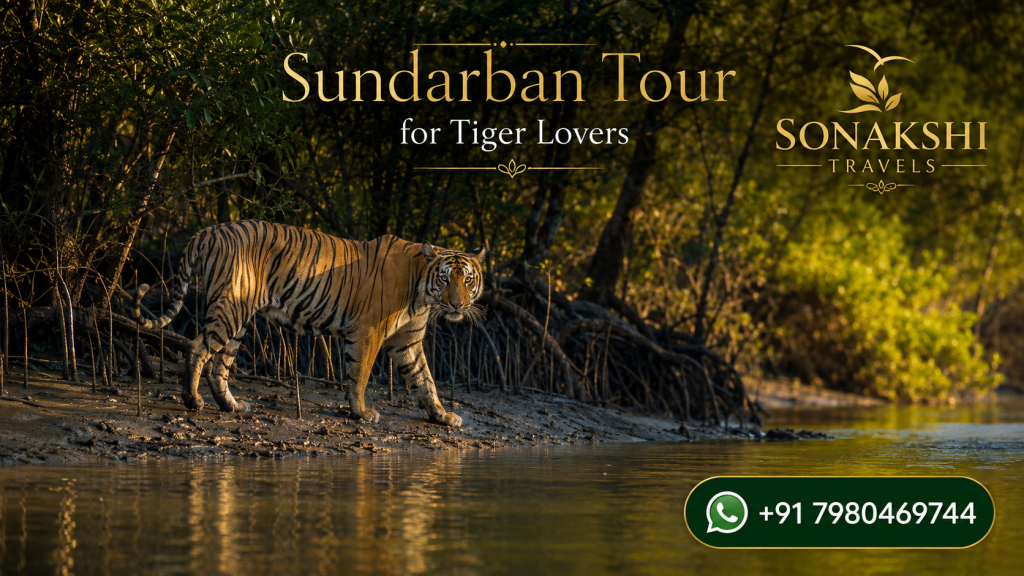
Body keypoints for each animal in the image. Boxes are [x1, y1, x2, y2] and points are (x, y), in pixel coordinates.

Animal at [132, 220, 485, 427]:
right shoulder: (369, 331)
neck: (423, 295)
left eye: (467, 280)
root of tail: (207, 231)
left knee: (220, 366)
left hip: (238, 315)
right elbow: (360, 375)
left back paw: (232, 407)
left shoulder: (407, 341)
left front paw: (441, 415)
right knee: (197, 348)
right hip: (230, 308)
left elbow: (425, 379)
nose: (458, 305)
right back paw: (193, 402)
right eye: (445, 279)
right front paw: (361, 413)